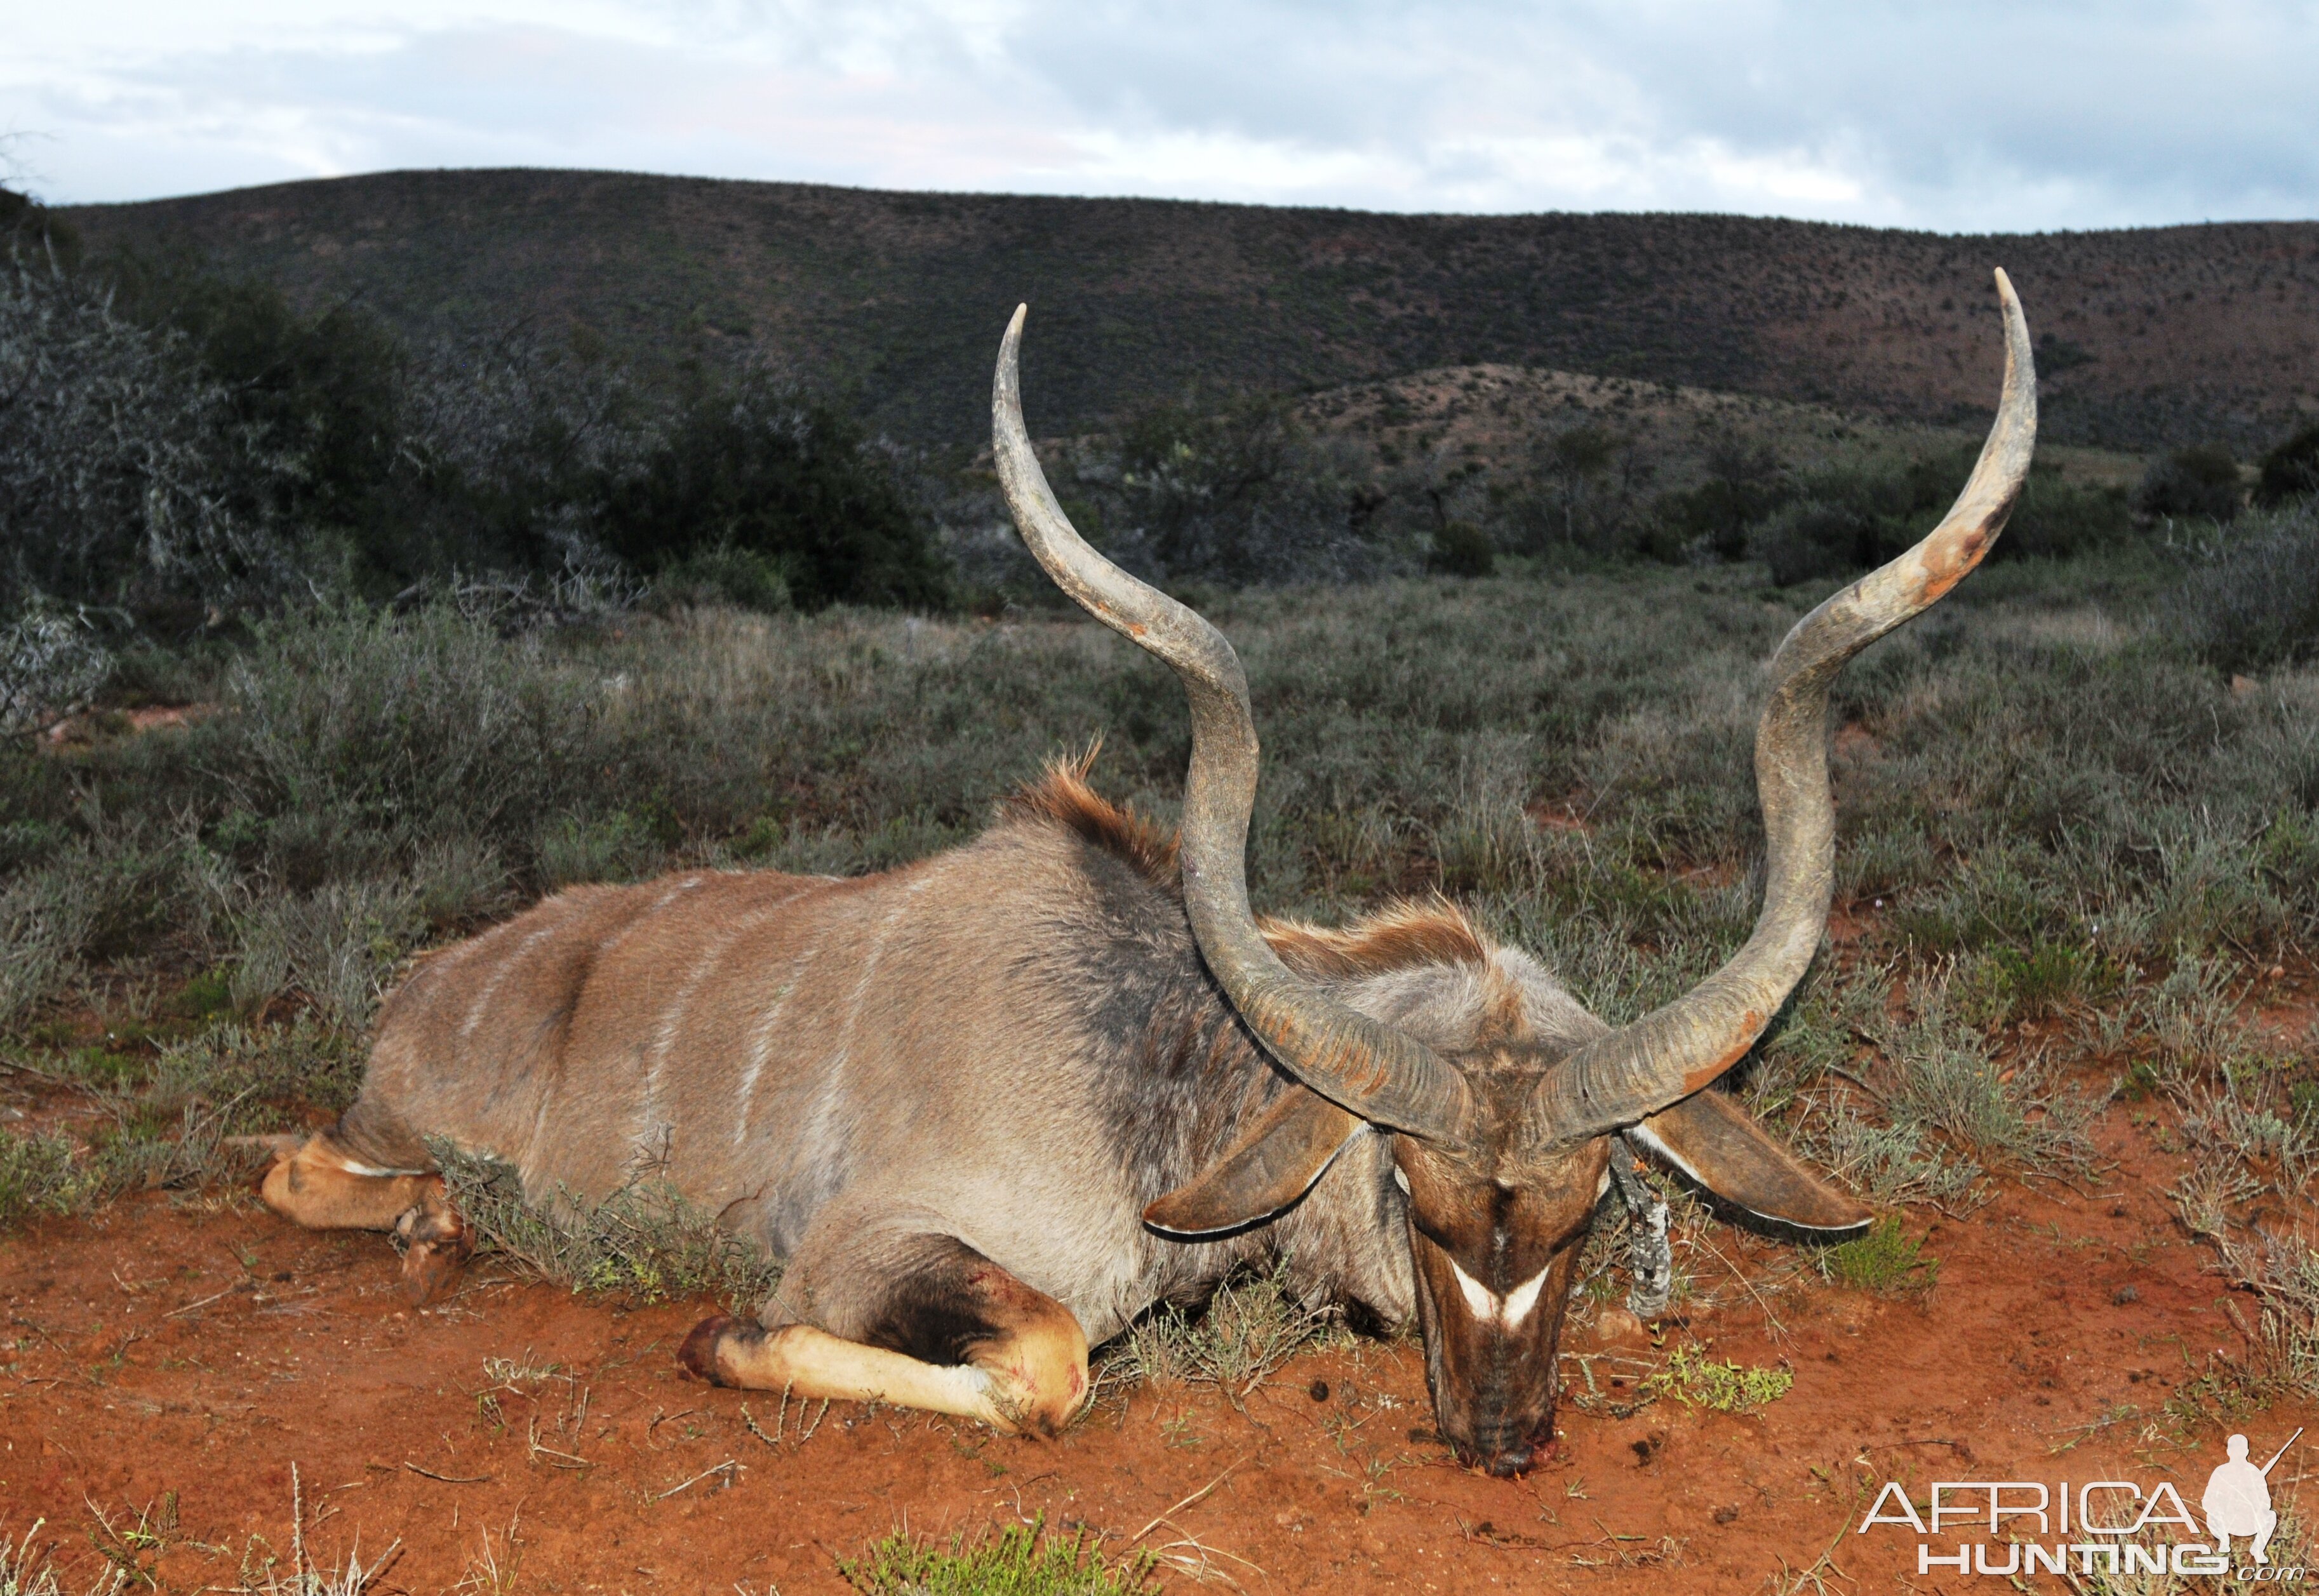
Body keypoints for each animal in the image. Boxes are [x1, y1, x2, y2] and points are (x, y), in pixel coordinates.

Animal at [249, 271, 2031, 1475]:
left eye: (1587, 1211)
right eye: (1415, 1195)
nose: (1505, 1440)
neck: (1154, 1067)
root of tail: (422, 990)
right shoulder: (869, 1248)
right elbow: (1043, 1362)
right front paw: (718, 1335)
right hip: (383, 1130)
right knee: (284, 1171)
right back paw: (421, 1219)